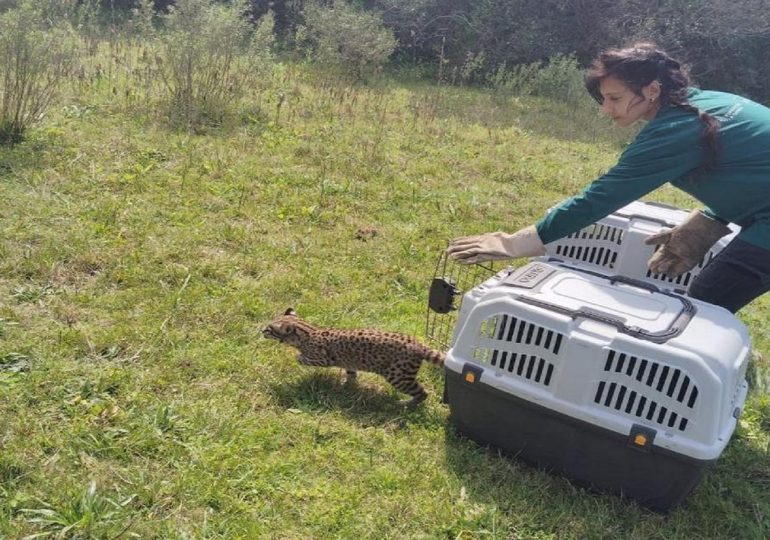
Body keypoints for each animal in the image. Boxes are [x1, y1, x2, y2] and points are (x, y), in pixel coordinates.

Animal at [264, 308, 444, 404]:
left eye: (269, 329)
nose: (261, 331)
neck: (306, 331)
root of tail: (418, 344)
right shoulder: (349, 363)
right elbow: (351, 374)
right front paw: (346, 385)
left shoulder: (322, 359)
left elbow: (303, 358)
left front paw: (299, 358)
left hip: (398, 376)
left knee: (423, 393)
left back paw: (407, 404)